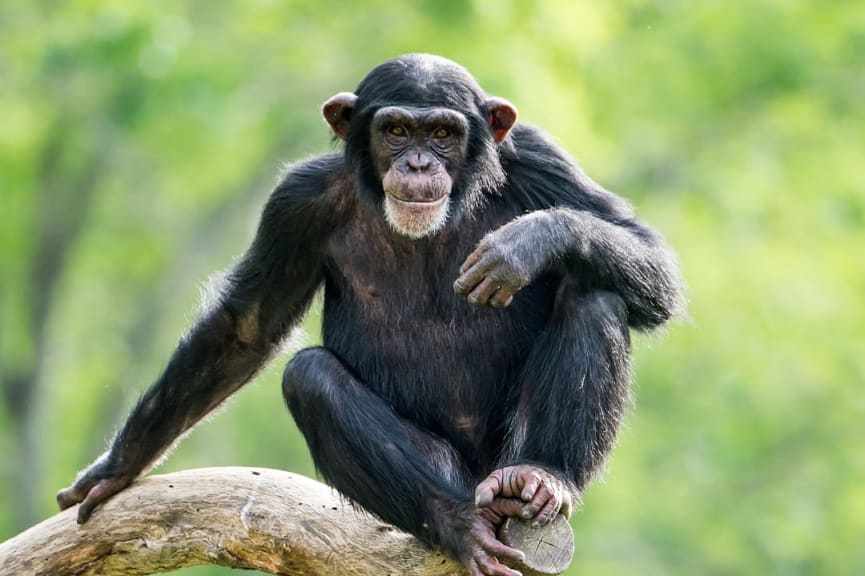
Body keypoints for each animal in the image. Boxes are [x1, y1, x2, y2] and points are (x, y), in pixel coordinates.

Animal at [57, 54, 684, 576]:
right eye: (396, 130)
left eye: (443, 133)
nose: (418, 162)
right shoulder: (295, 202)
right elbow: (247, 325)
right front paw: (115, 469)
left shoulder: (538, 158)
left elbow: (651, 260)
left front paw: (529, 242)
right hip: (449, 476)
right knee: (309, 376)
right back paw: (458, 524)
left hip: (502, 457)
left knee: (594, 294)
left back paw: (540, 475)